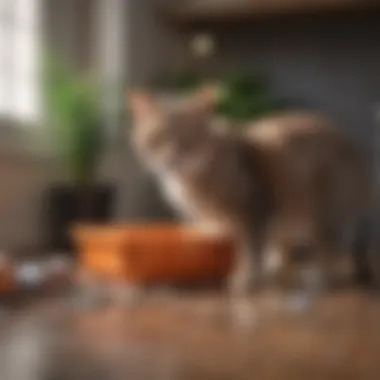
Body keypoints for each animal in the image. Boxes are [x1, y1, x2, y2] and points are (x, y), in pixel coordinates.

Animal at [127, 90, 374, 296]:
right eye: (158, 137)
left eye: (188, 137)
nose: (172, 156)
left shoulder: (254, 209)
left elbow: (249, 248)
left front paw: (247, 279)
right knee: (285, 248)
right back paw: (275, 264)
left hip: (326, 213)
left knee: (329, 251)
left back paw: (316, 279)